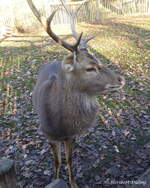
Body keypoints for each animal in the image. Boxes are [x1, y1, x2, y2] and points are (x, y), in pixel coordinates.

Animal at [27, 0, 125, 187]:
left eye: (99, 61)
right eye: (90, 68)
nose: (121, 79)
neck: (60, 125)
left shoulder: (70, 136)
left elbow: (70, 160)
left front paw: (73, 183)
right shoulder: (49, 135)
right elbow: (57, 161)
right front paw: (56, 179)